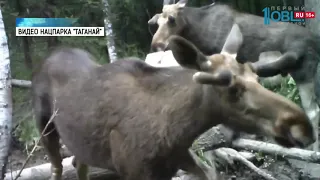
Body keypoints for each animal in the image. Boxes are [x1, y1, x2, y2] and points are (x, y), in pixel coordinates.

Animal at [32, 24, 316, 180]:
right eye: (232, 89)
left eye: (257, 77)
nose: (302, 127)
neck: (177, 130)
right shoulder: (133, 171)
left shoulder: (178, 158)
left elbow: (209, 172)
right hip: (45, 127)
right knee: (57, 168)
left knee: (79, 165)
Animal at [148, 0, 320, 152]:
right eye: (157, 22)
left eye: (172, 19)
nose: (156, 45)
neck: (198, 31)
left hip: (304, 73)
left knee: (313, 112)